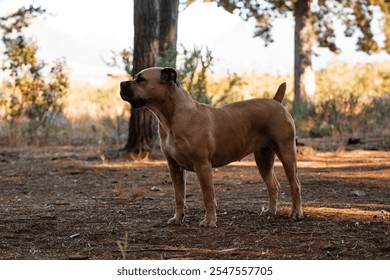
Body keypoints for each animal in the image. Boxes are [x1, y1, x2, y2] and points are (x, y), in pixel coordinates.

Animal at [120, 68, 304, 228]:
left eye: (141, 79)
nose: (121, 83)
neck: (171, 116)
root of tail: (276, 101)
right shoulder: (174, 167)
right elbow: (179, 196)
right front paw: (178, 218)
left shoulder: (202, 166)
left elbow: (208, 196)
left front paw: (209, 221)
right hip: (263, 159)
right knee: (273, 185)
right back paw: (271, 212)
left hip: (286, 153)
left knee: (295, 184)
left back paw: (296, 214)